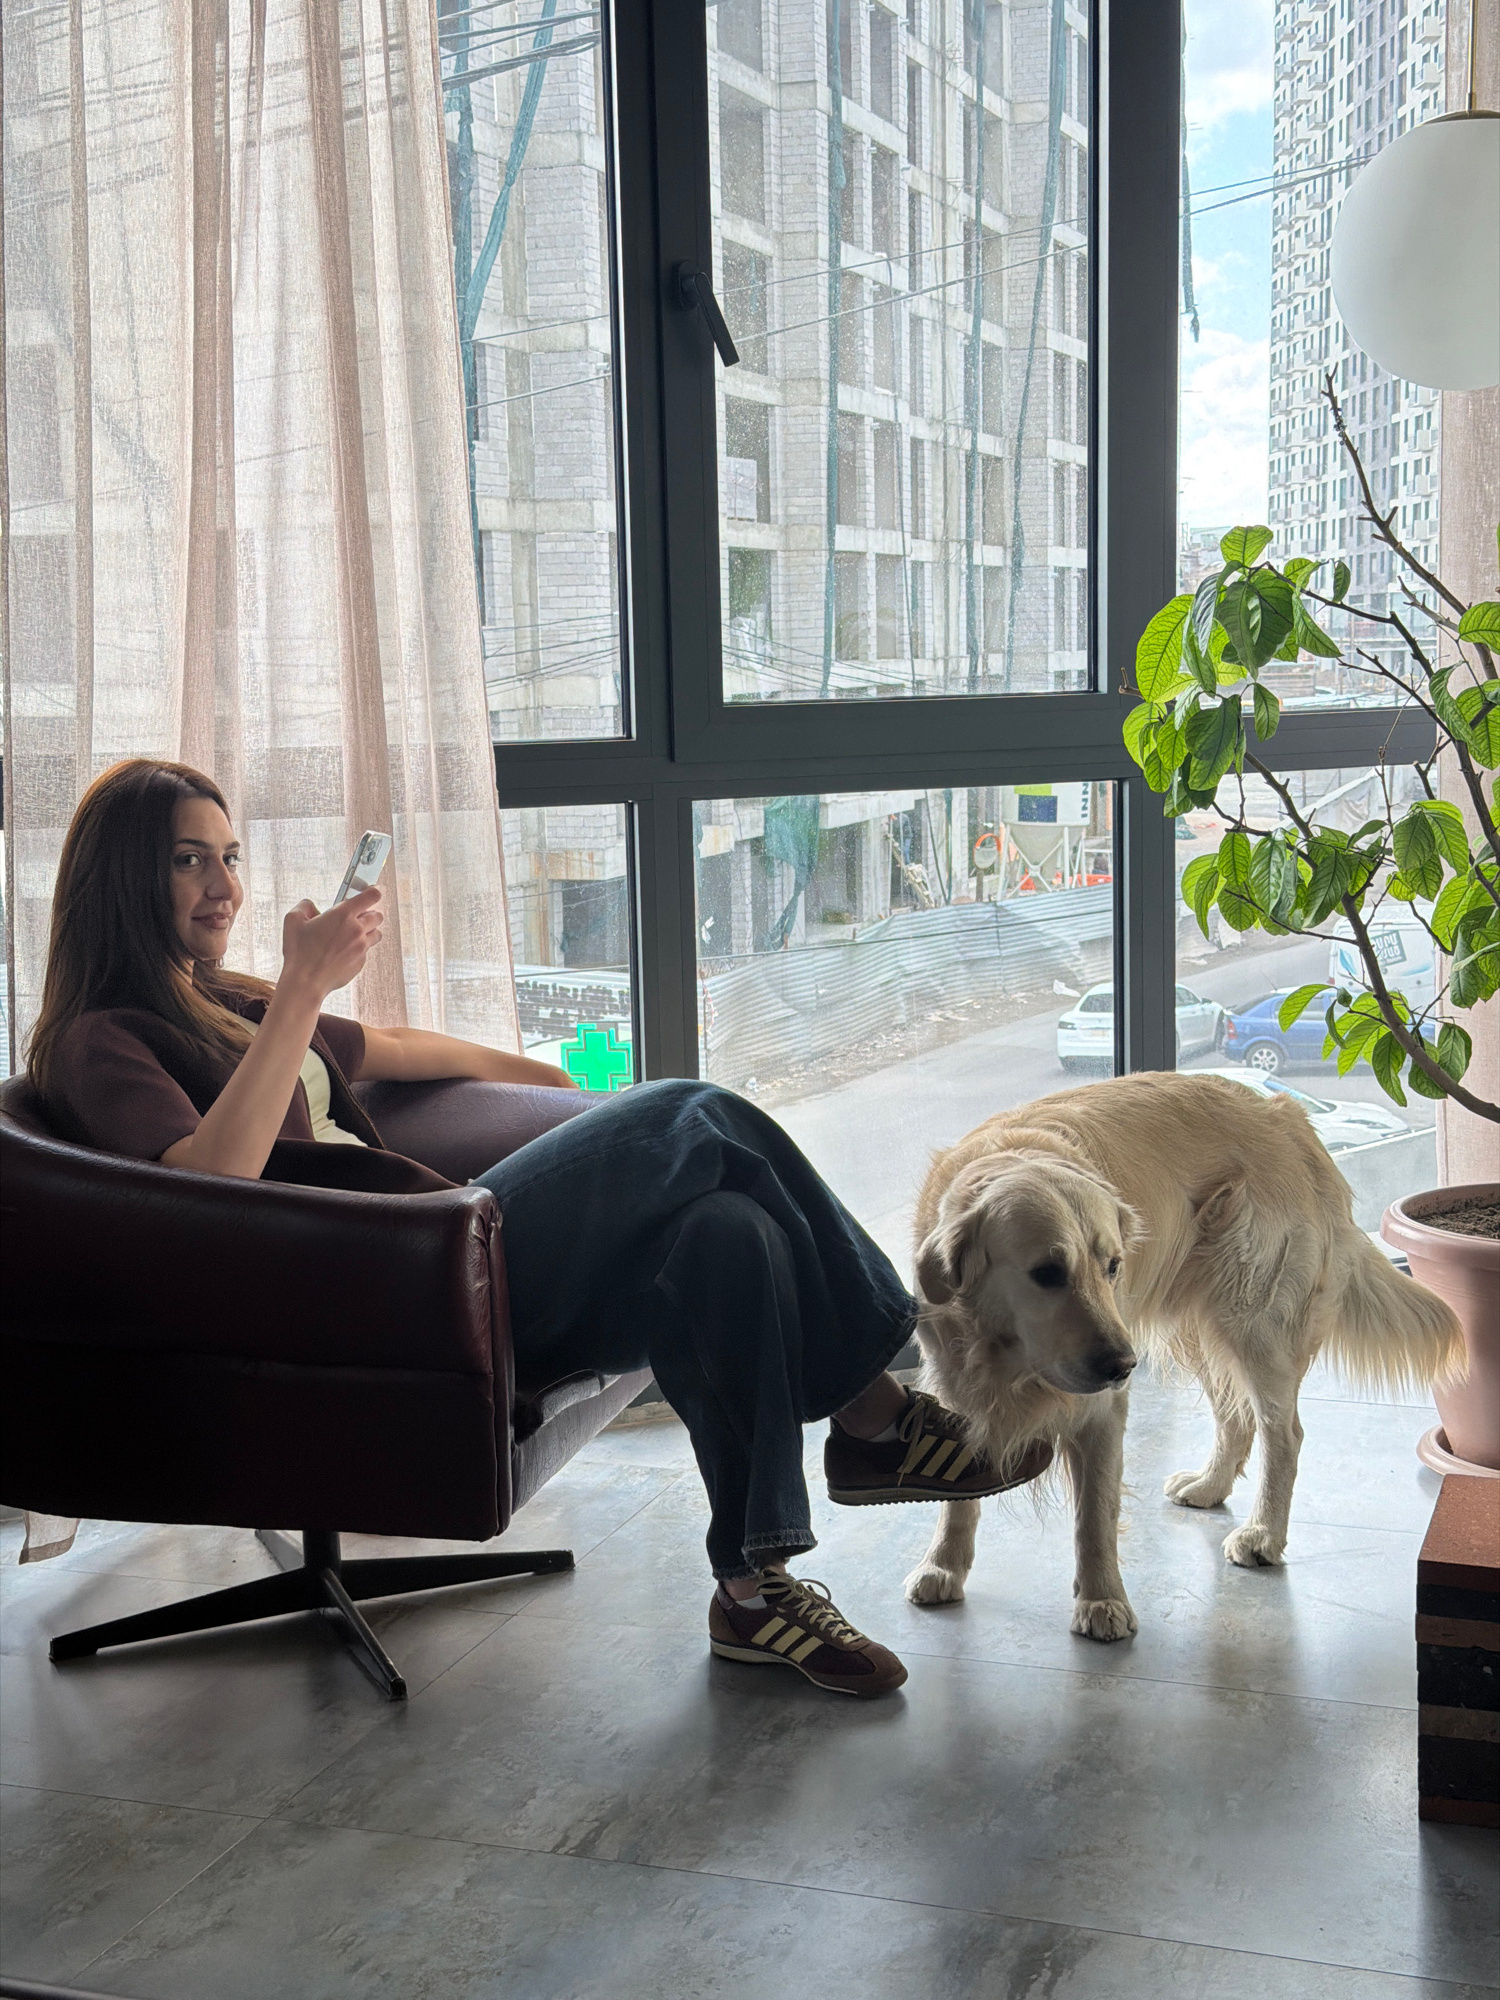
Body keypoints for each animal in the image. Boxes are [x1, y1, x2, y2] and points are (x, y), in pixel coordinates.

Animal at [903, 1072, 1462, 1641]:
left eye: (1113, 1266)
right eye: (1047, 1272)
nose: (1122, 1366)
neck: (1008, 1358)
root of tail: (1287, 1115)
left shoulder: (1102, 1408)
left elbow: (1094, 1515)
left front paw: (1102, 1600)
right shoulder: (961, 1390)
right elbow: (958, 1498)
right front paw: (943, 1565)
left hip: (1252, 1320)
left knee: (1283, 1432)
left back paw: (1263, 1533)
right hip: (1200, 1327)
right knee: (1235, 1417)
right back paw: (1210, 1484)